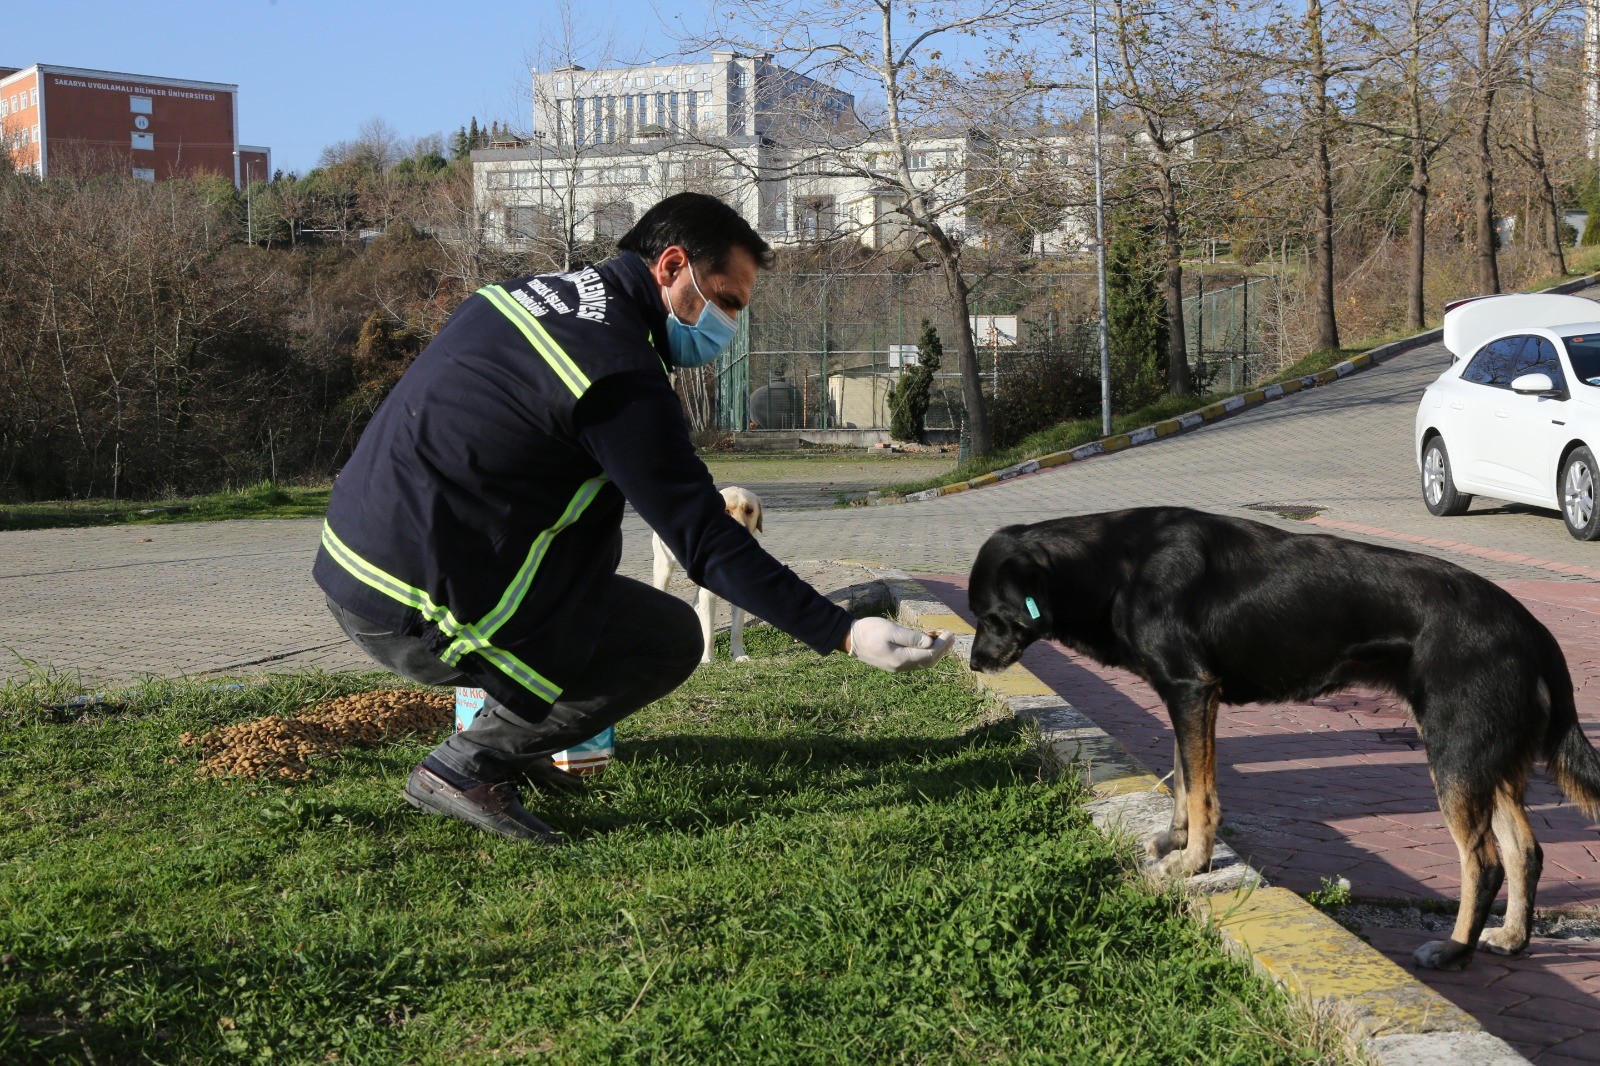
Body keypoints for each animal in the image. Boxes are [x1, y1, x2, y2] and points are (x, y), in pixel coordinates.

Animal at [656, 486, 768, 659]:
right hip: (664, 568)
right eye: (726, 511)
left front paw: (738, 655)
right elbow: (709, 632)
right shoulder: (708, 595)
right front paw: (708, 659)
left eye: (749, 510)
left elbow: (737, 630)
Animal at [960, 505, 1600, 973]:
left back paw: (1454, 949)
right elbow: (1183, 780)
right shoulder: (1185, 697)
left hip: (1454, 755)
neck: (1116, 565)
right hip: (1490, 765)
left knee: (1484, 862)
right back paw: (1512, 938)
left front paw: (1194, 862)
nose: (972, 664)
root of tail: (1531, 628)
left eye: (991, 617)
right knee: (1525, 852)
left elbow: (1201, 791)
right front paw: (1176, 841)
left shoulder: (1192, 690)